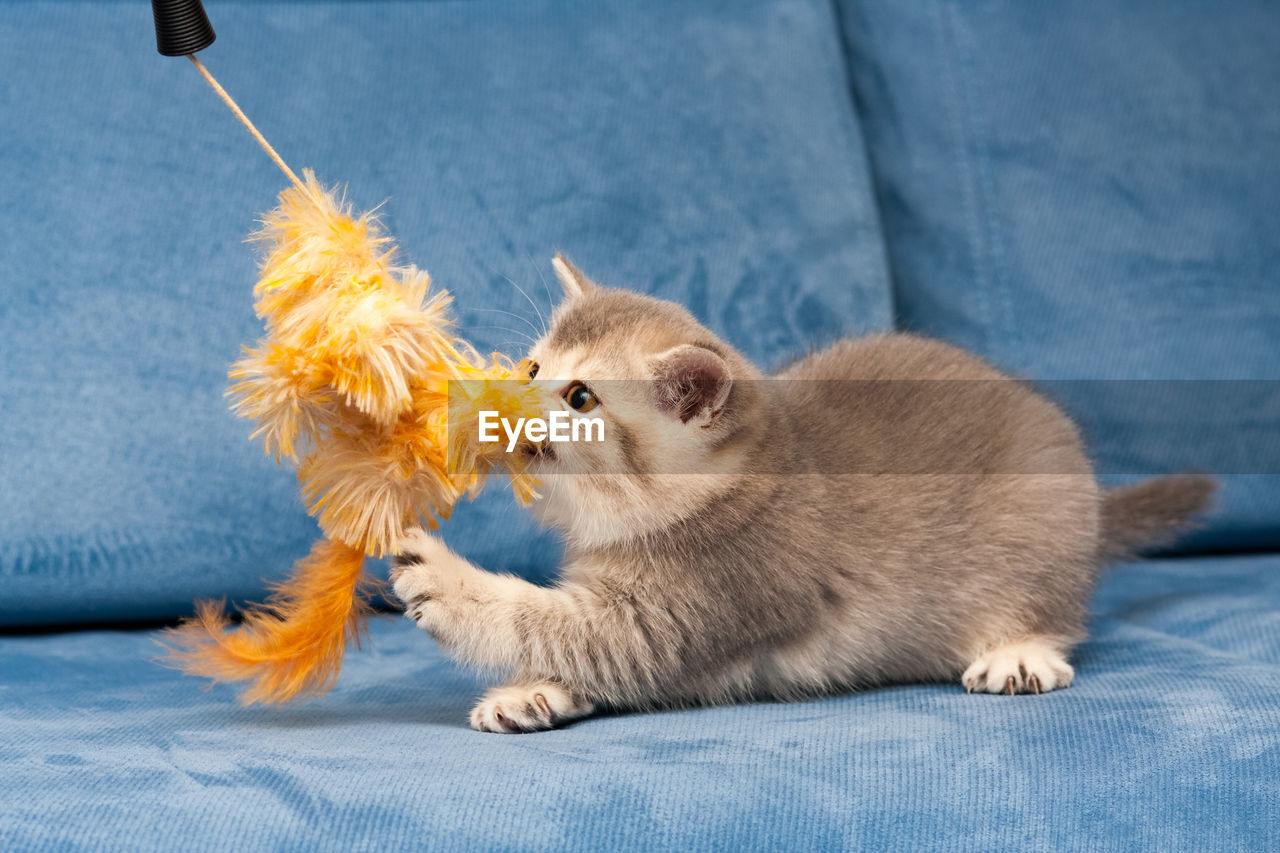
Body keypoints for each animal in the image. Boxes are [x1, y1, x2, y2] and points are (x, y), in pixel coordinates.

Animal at [394, 253, 1213, 732]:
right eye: (534, 368)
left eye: (581, 397)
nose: (508, 398)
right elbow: (572, 644)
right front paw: (532, 692)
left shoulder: (698, 605)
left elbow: (568, 630)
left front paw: (448, 584)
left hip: (1042, 525)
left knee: (1056, 610)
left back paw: (1021, 649)